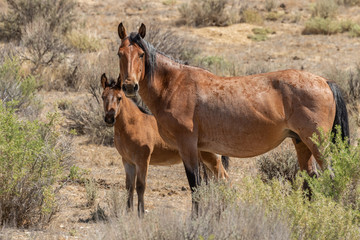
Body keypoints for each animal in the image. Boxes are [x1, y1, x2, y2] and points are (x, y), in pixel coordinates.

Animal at [100, 73, 228, 216]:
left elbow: (140, 186)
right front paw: (128, 214)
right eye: (103, 96)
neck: (133, 124)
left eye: (119, 98)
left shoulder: (142, 161)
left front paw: (141, 214)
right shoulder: (128, 162)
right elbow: (129, 187)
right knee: (214, 182)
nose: (109, 118)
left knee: (223, 180)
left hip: (211, 159)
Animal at [116, 23, 348, 208]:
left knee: (331, 176)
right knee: (311, 180)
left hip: (317, 144)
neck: (174, 85)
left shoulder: (187, 147)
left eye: (141, 54)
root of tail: (325, 81)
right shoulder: (203, 150)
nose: (129, 86)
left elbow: (196, 187)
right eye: (120, 53)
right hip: (301, 143)